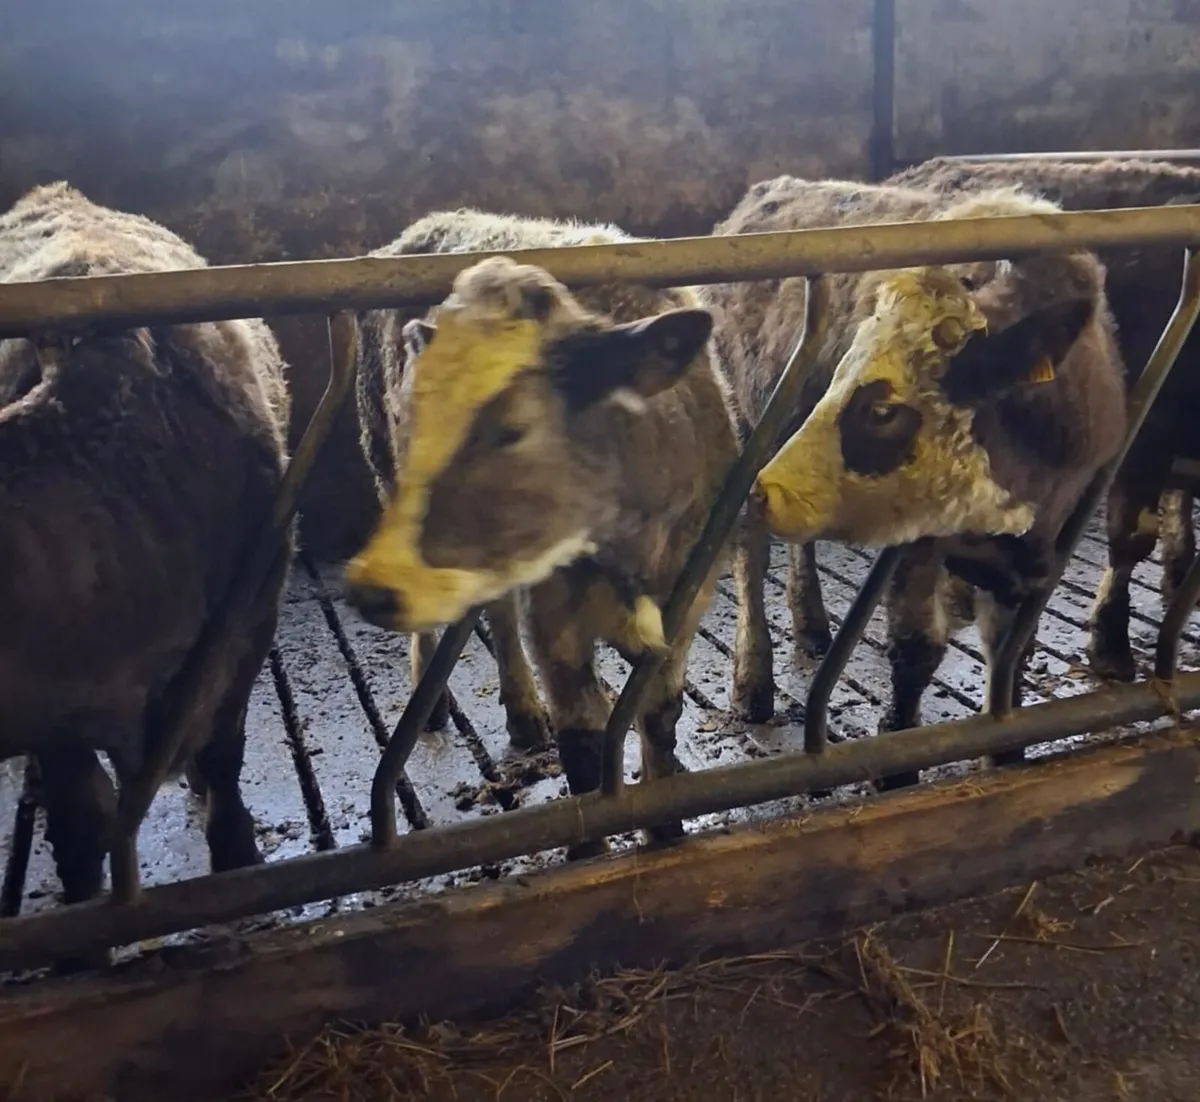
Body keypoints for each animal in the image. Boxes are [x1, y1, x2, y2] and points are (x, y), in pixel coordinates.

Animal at [346, 209, 740, 854]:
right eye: (411, 416)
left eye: (514, 428)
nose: (372, 588)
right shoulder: (554, 615)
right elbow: (580, 739)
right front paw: (589, 849)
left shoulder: (689, 594)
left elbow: (661, 720)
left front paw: (665, 828)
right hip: (381, 464)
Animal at [698, 177, 1126, 780]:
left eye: (881, 410)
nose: (769, 490)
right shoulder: (915, 541)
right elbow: (916, 646)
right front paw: (898, 756)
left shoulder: (1047, 536)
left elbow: (1013, 645)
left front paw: (1006, 746)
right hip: (745, 425)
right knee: (749, 557)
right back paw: (752, 682)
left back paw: (811, 623)